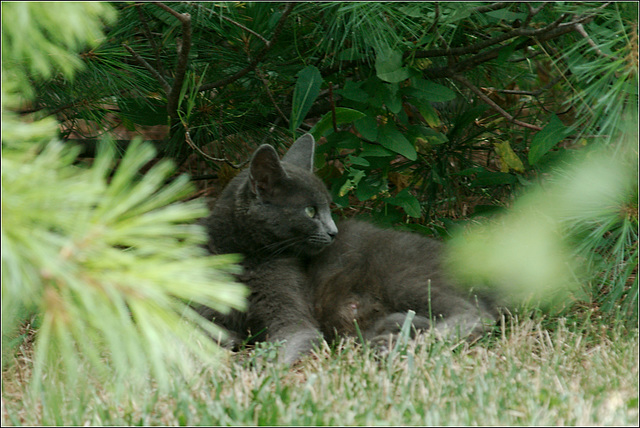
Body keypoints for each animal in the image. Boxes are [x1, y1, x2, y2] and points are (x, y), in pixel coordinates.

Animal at [200, 132, 496, 362]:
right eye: (310, 211)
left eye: (326, 208)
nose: (333, 232)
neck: (240, 257)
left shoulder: (293, 318)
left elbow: (291, 340)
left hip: (403, 277)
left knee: (476, 315)